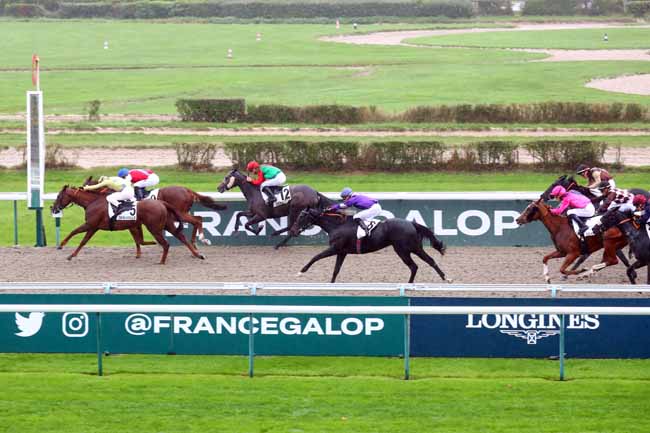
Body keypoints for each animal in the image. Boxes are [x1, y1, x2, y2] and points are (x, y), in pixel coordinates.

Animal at [50, 183, 202, 262]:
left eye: (59, 196)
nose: (53, 208)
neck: (93, 202)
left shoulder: (91, 225)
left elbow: (77, 235)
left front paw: (64, 248)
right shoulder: (99, 227)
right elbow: (138, 240)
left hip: (156, 227)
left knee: (170, 241)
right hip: (167, 224)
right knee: (182, 236)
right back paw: (197, 254)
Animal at [292, 207, 448, 284]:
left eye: (301, 216)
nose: (292, 231)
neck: (337, 225)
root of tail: (411, 223)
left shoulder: (335, 248)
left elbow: (316, 257)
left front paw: (301, 271)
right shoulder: (342, 252)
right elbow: (336, 270)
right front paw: (331, 284)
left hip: (405, 250)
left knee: (415, 266)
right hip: (413, 248)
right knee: (428, 261)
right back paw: (445, 278)